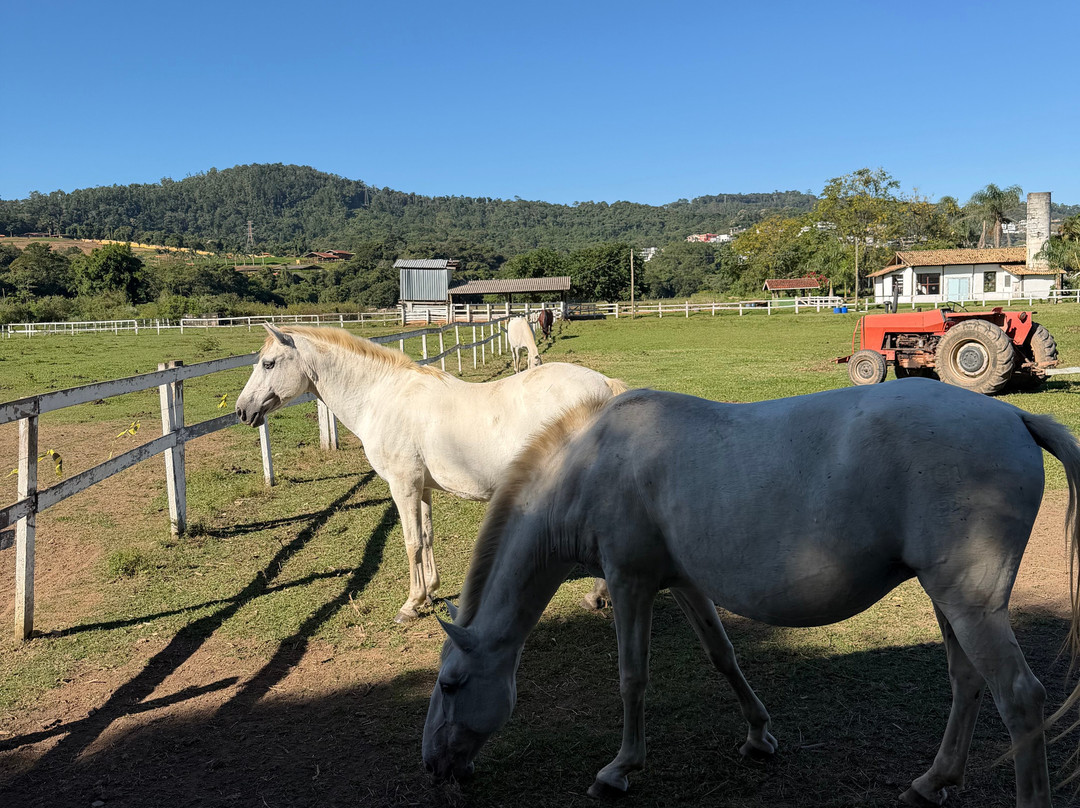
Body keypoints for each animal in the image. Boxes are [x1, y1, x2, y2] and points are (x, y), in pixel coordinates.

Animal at [234, 324, 626, 624]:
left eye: (268, 363)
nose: (242, 410)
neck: (382, 397)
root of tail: (605, 385)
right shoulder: (421, 487)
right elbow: (426, 536)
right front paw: (429, 593)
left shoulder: (403, 485)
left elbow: (410, 542)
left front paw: (410, 605)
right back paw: (598, 596)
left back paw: (597, 596)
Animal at [423, 381, 1080, 808]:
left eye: (451, 685)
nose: (434, 767)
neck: (592, 465)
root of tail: (1014, 417)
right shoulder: (683, 582)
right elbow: (724, 656)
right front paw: (759, 735)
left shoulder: (630, 581)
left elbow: (632, 678)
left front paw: (619, 769)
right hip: (950, 598)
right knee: (967, 682)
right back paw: (932, 782)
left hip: (972, 606)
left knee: (1019, 697)